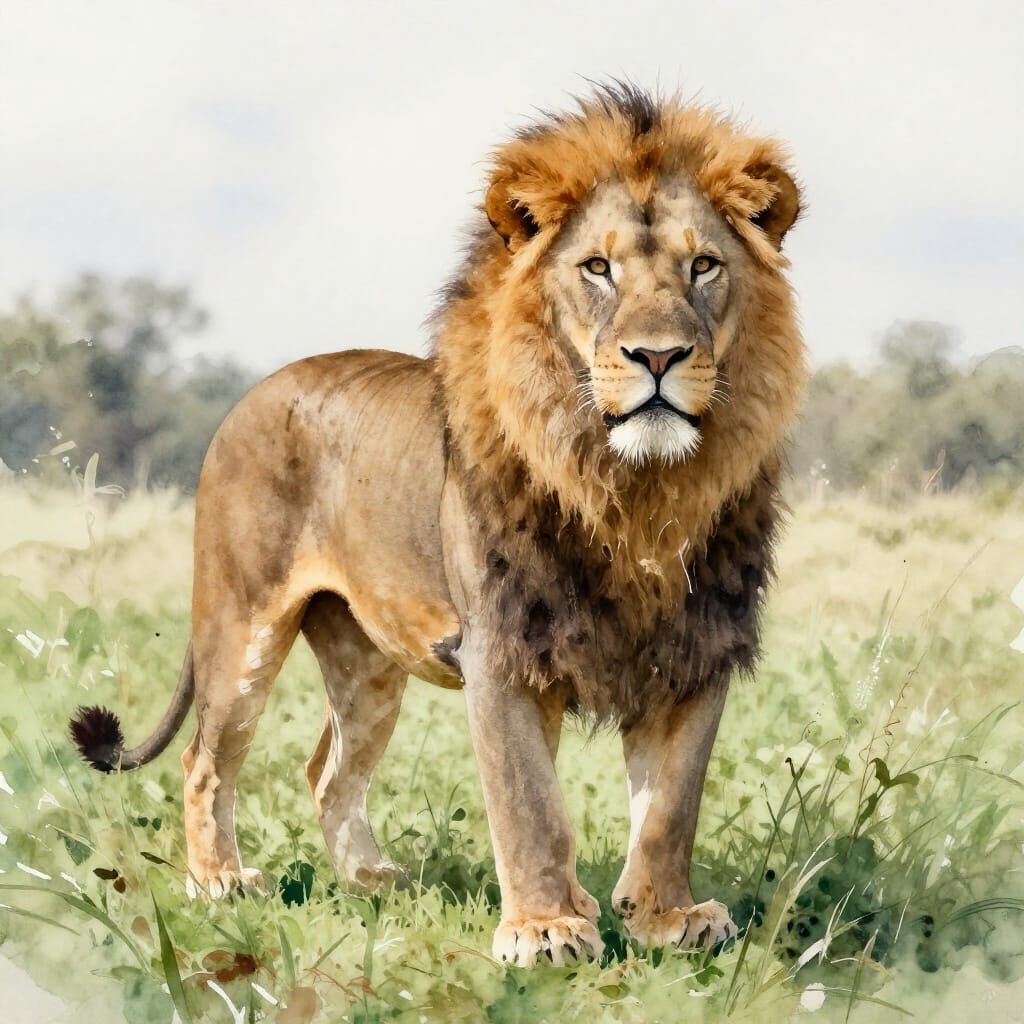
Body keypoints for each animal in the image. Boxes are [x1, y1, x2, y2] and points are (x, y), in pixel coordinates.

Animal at [70, 83, 806, 968]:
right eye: (598, 268)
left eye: (704, 267)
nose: (657, 357)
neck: (636, 492)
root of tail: (256, 390)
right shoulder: (502, 648)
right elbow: (528, 803)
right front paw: (546, 928)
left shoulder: (698, 649)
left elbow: (670, 807)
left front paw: (665, 917)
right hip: (241, 626)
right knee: (205, 759)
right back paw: (219, 882)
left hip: (368, 661)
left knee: (327, 771)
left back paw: (371, 880)